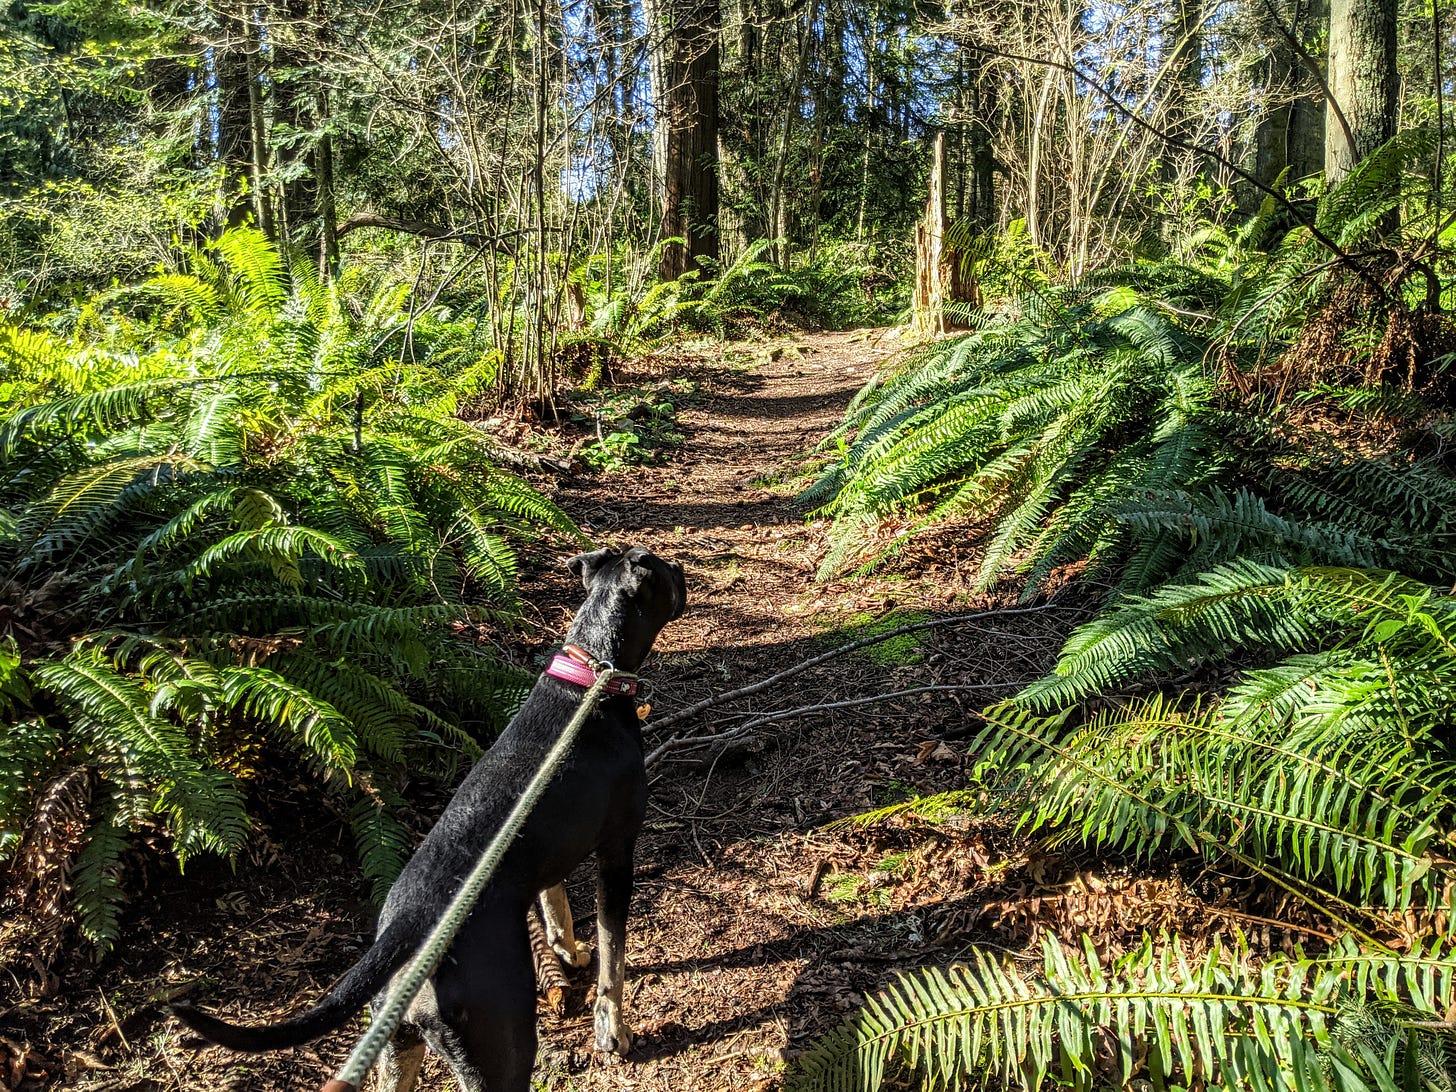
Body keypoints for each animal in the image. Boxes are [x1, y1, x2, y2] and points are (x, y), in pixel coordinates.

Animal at [171, 550, 687, 1089]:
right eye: (666, 572)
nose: (683, 572)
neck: (589, 678)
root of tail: (409, 927)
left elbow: (555, 900)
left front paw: (566, 950)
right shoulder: (618, 850)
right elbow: (613, 955)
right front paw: (612, 1029)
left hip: (397, 1048)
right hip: (502, 1048)